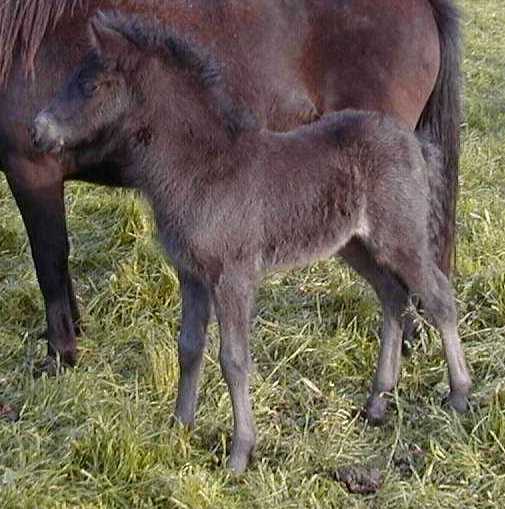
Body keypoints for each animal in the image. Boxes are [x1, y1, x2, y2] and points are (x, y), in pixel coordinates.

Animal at [32, 11, 472, 472]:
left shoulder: (234, 275)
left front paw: (240, 453)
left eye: (90, 85)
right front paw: (180, 426)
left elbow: (234, 359)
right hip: (355, 245)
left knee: (439, 296)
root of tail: (414, 142)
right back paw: (377, 402)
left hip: (399, 237)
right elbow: (189, 346)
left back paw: (459, 394)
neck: (203, 168)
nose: (37, 130)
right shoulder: (191, 272)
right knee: (392, 295)